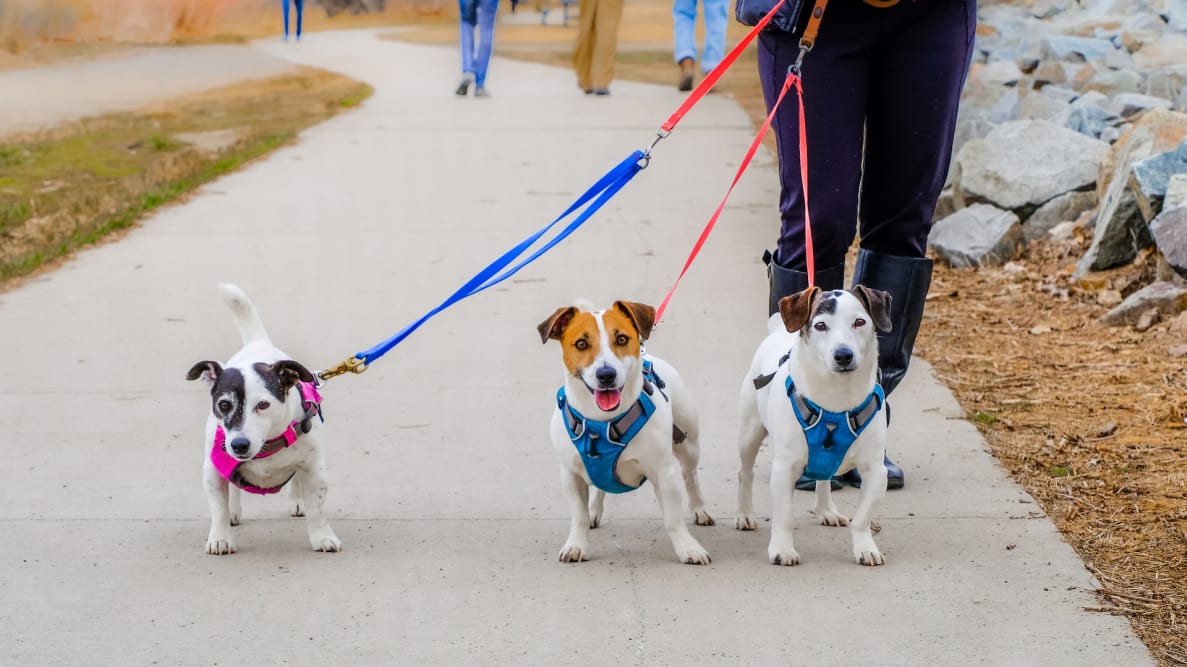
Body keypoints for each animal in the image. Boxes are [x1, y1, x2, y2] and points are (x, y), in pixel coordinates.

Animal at [538, 300, 712, 560]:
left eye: (621, 339)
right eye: (581, 344)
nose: (606, 374)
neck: (603, 422)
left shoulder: (664, 474)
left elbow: (673, 519)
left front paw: (688, 548)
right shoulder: (570, 475)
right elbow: (578, 516)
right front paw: (577, 544)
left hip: (688, 444)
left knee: (690, 476)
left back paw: (700, 509)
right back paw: (594, 511)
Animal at [731, 287, 892, 564]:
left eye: (860, 322)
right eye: (820, 325)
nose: (843, 355)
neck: (836, 400)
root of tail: (778, 331)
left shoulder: (875, 471)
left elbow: (862, 518)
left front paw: (865, 548)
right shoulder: (784, 468)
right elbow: (784, 516)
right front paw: (782, 549)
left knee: (824, 477)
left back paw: (826, 510)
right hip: (749, 433)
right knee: (746, 472)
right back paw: (744, 514)